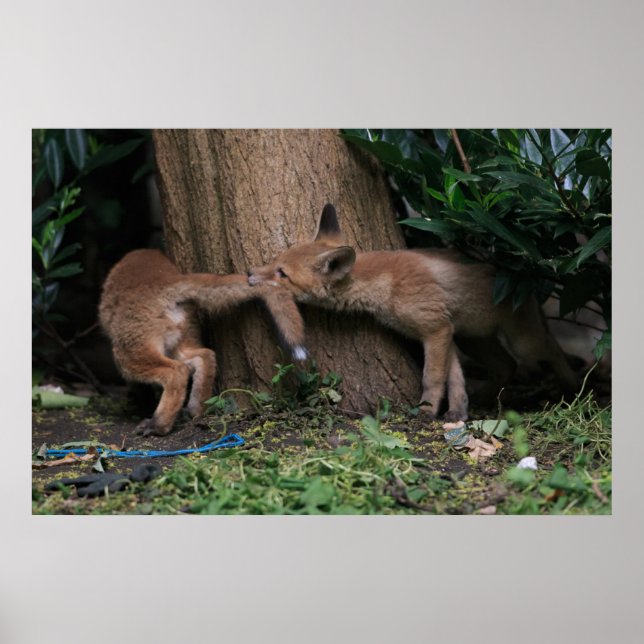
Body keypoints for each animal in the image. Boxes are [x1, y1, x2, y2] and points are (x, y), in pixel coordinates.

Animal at [99, 249, 307, 436]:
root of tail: (168, 281)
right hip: (179, 344)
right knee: (205, 356)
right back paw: (197, 409)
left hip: (128, 356)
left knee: (177, 372)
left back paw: (159, 425)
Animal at [247, 203, 578, 421]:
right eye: (275, 261)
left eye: (282, 274)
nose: (249, 273)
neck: (386, 284)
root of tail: (522, 276)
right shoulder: (446, 332)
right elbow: (454, 379)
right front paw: (458, 412)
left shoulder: (435, 330)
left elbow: (432, 377)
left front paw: (426, 411)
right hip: (474, 339)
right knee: (506, 366)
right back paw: (485, 396)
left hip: (524, 343)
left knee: (550, 350)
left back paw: (575, 388)